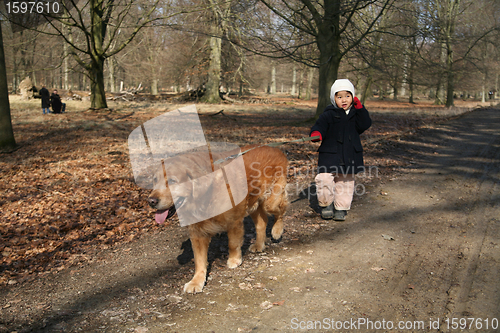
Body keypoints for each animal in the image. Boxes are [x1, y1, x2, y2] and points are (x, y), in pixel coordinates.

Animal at [147, 144, 290, 292]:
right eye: (155, 180)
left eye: (172, 181)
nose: (151, 201)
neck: (205, 194)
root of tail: (275, 149)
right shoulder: (197, 233)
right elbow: (199, 260)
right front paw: (196, 281)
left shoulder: (233, 221)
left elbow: (233, 243)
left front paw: (234, 260)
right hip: (253, 204)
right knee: (262, 222)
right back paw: (259, 245)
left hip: (271, 202)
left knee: (281, 211)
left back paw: (277, 231)